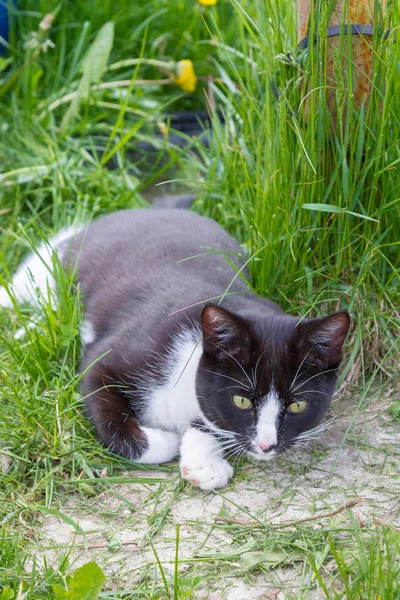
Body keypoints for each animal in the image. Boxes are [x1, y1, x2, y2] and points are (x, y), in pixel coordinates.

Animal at [0, 209, 348, 490]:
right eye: (242, 400)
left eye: (298, 406)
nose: (267, 445)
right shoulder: (109, 357)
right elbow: (110, 417)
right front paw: (168, 440)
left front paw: (204, 461)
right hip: (59, 264)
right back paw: (23, 328)